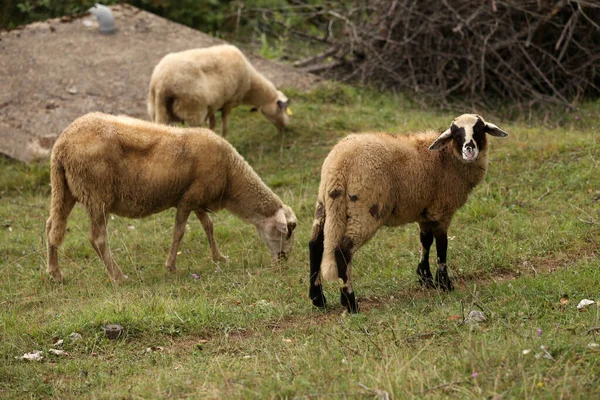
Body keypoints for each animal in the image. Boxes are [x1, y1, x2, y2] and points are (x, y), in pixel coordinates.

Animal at [45, 111, 298, 282]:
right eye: (287, 231)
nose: (284, 259)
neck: (231, 176)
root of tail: (61, 145)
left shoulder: (198, 199)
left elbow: (209, 226)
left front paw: (219, 257)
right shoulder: (187, 200)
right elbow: (180, 232)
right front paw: (171, 266)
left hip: (65, 190)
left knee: (51, 227)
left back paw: (55, 273)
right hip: (97, 195)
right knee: (97, 239)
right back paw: (118, 276)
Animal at [149, 44, 292, 138]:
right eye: (282, 109)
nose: (286, 127)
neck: (251, 86)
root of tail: (162, 82)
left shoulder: (214, 104)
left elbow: (212, 124)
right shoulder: (228, 103)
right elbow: (225, 126)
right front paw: (224, 141)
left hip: (156, 110)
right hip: (193, 111)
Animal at [308, 112, 508, 312]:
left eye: (479, 129)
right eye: (456, 133)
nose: (469, 150)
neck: (447, 158)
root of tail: (339, 165)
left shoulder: (425, 212)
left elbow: (425, 241)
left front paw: (425, 278)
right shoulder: (442, 211)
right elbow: (442, 246)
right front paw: (444, 284)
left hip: (325, 205)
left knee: (315, 244)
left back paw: (318, 298)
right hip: (364, 210)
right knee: (343, 251)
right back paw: (350, 302)